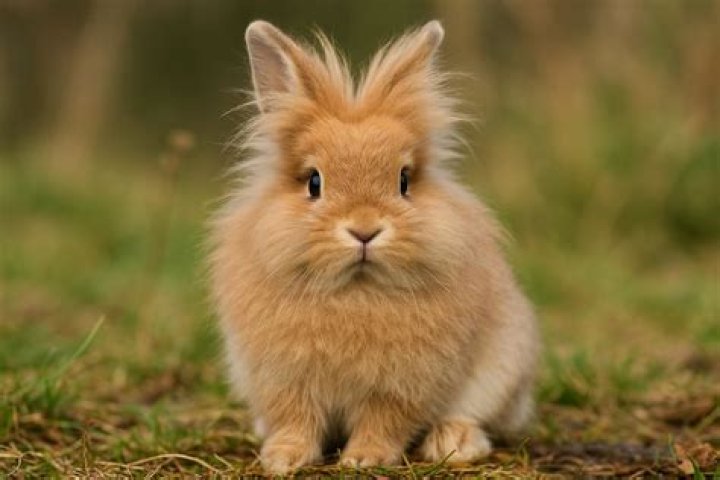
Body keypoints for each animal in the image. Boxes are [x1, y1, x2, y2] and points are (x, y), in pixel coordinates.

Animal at [209, 19, 540, 474]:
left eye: (403, 180)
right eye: (314, 182)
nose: (364, 231)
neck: (355, 290)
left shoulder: (402, 386)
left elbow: (383, 422)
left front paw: (363, 459)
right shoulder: (284, 380)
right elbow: (297, 420)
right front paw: (283, 459)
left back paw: (455, 442)